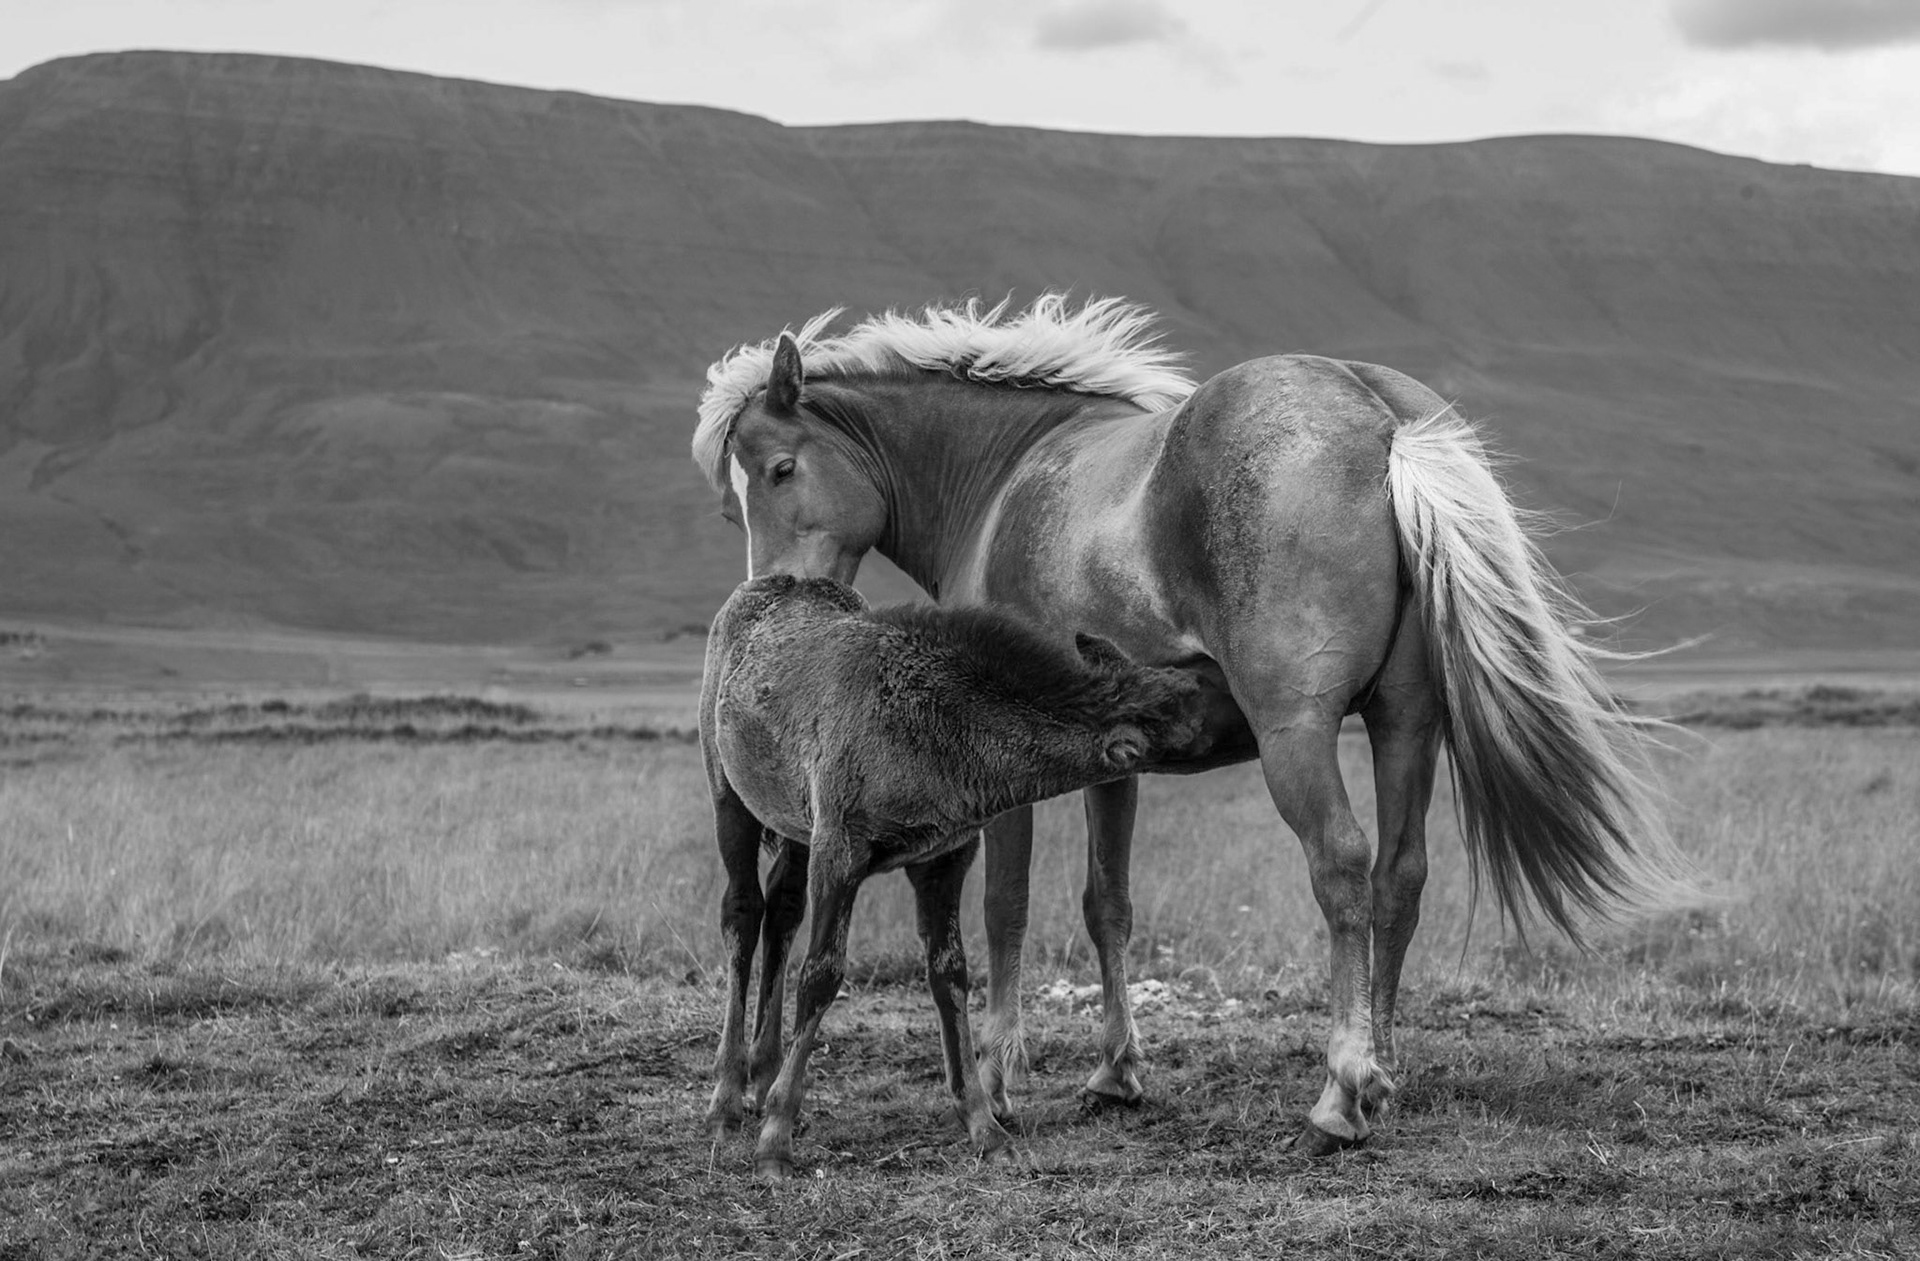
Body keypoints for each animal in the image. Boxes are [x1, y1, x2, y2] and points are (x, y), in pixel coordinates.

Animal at [701, 572, 1206, 1178]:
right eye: (1186, 719)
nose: (1232, 726)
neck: (934, 733)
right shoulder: (838, 850)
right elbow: (821, 975)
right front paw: (775, 1140)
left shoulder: (943, 860)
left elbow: (950, 975)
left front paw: (983, 1124)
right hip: (731, 799)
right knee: (742, 913)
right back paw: (728, 1100)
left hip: (794, 825)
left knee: (781, 911)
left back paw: (761, 1075)